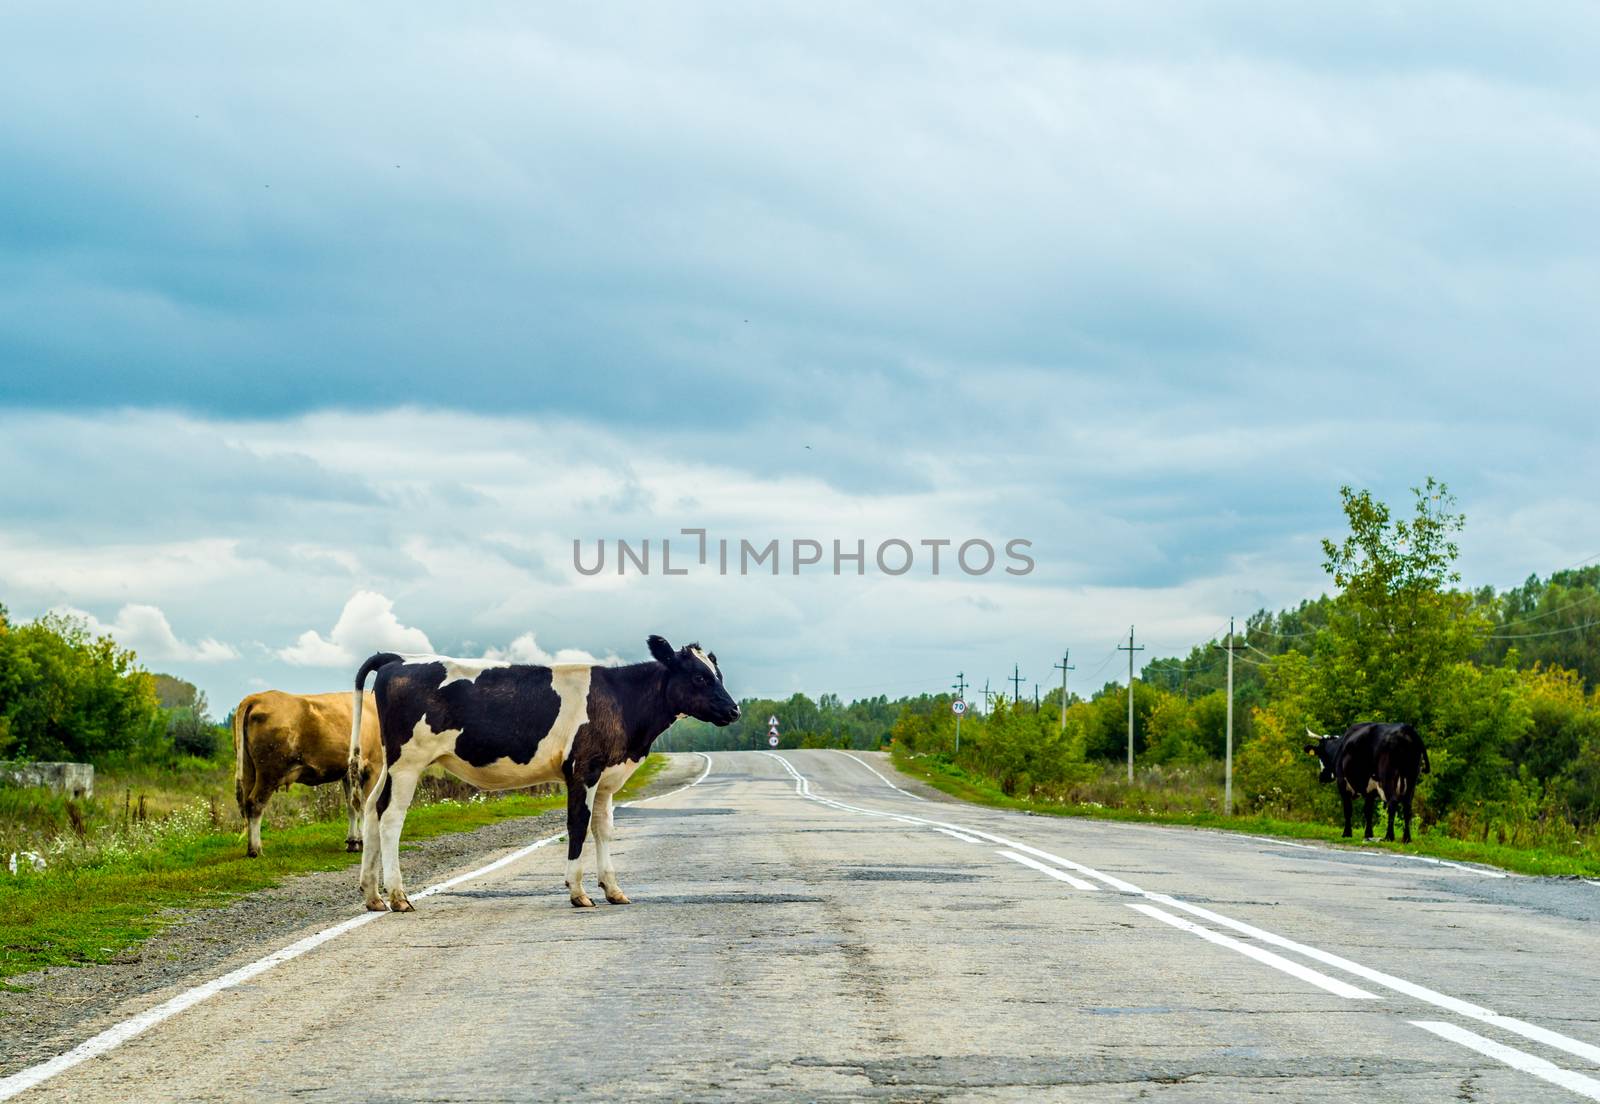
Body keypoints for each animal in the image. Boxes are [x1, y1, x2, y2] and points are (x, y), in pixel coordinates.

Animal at [233, 684, 382, 857]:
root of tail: (256, 697)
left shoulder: (348, 773)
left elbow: (352, 806)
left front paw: (354, 841)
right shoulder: (374, 766)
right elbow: (366, 805)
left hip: (248, 770)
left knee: (247, 803)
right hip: (269, 772)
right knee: (255, 803)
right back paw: (255, 849)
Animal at [350, 633, 736, 908]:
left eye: (718, 674)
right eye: (700, 677)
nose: (734, 711)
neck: (622, 700)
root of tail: (399, 658)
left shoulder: (606, 778)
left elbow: (603, 830)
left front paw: (613, 889)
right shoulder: (583, 769)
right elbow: (578, 825)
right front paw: (578, 891)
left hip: (390, 763)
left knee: (372, 809)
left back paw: (373, 896)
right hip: (408, 762)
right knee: (391, 817)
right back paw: (398, 896)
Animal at [1305, 716, 1433, 838]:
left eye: (1320, 754)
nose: (1323, 776)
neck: (1341, 747)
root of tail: (1406, 729)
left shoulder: (1342, 782)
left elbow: (1348, 809)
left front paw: (1347, 833)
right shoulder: (1370, 788)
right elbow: (1368, 811)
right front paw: (1368, 834)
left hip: (1388, 776)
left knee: (1392, 801)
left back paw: (1389, 836)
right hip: (1412, 776)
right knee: (1407, 805)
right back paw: (1406, 838)